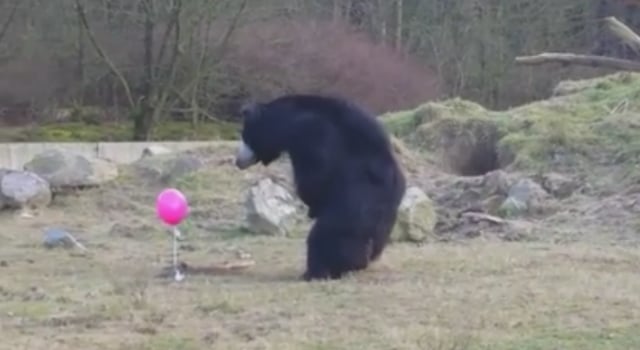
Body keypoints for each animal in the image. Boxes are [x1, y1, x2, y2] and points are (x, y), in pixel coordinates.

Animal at [234, 94, 404, 280]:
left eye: (245, 136)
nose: (238, 161)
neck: (287, 124)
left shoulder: (311, 136)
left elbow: (314, 177)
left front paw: (312, 204)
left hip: (354, 209)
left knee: (324, 237)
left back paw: (317, 271)